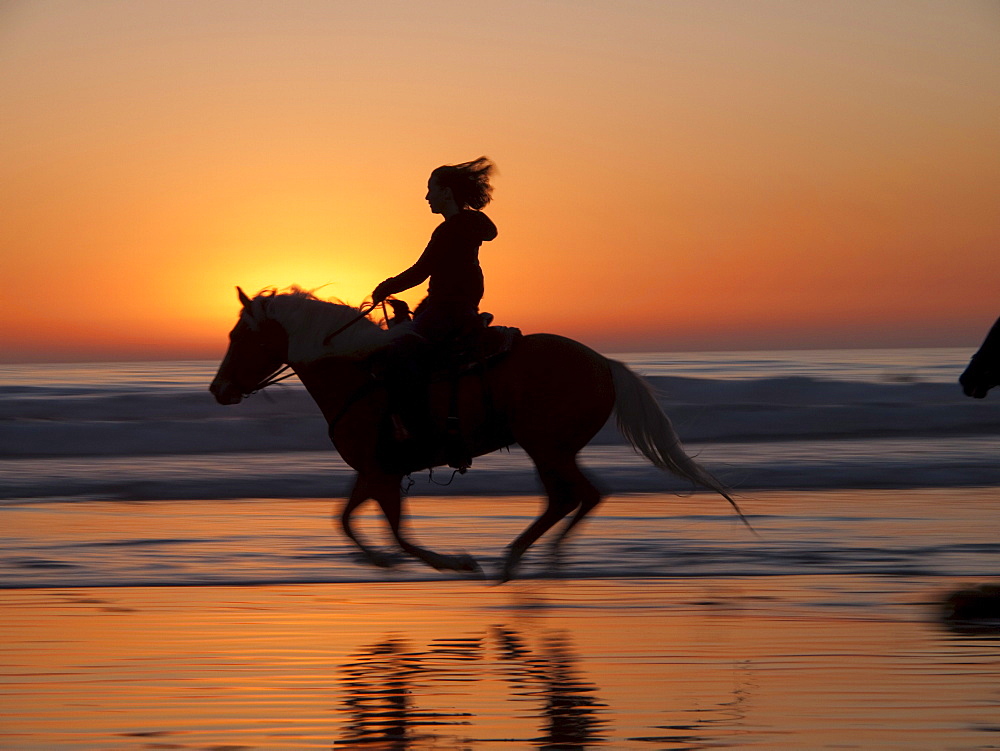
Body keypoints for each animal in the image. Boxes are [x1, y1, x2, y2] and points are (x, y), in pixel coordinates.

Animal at [207, 288, 748, 580]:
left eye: (240, 337)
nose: (218, 390)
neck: (357, 374)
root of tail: (604, 363)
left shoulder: (382, 474)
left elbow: (397, 533)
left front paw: (454, 563)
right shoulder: (374, 471)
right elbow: (346, 521)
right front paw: (382, 561)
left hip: (545, 445)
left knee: (578, 496)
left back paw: (527, 562)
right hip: (550, 448)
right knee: (570, 498)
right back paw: (523, 559)